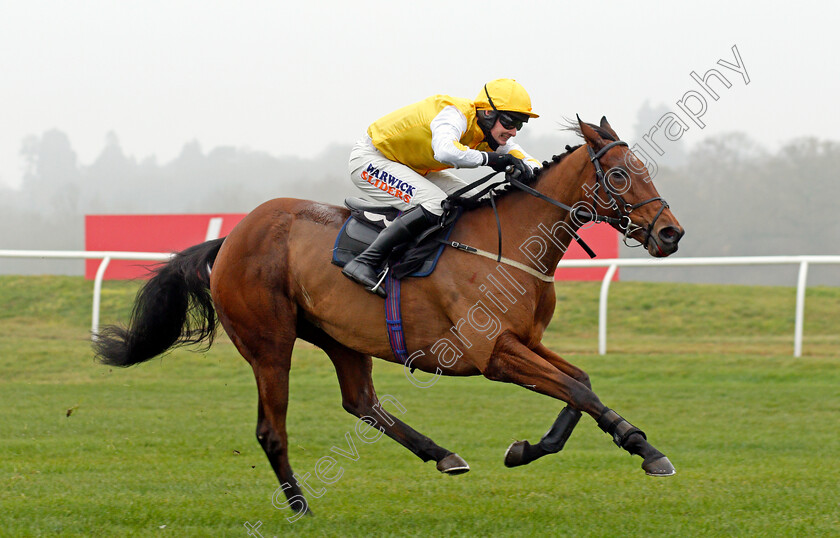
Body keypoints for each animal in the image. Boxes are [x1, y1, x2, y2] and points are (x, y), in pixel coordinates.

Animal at [95, 118, 684, 516]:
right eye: (619, 175)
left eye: (645, 170)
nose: (671, 233)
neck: (509, 244)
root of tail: (232, 237)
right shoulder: (492, 353)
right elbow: (578, 390)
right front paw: (647, 450)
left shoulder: (524, 339)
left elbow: (579, 383)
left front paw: (534, 449)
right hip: (269, 343)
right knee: (271, 429)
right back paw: (300, 504)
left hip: (339, 337)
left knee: (361, 403)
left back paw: (442, 454)